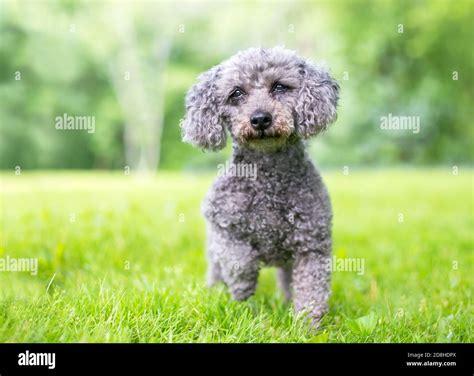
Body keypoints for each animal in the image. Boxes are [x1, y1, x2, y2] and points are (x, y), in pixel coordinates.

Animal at [180, 47, 338, 324]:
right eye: (236, 93)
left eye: (280, 86)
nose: (261, 119)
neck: (268, 182)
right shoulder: (223, 226)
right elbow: (241, 262)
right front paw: (242, 292)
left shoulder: (312, 244)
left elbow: (311, 289)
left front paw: (308, 325)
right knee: (217, 271)